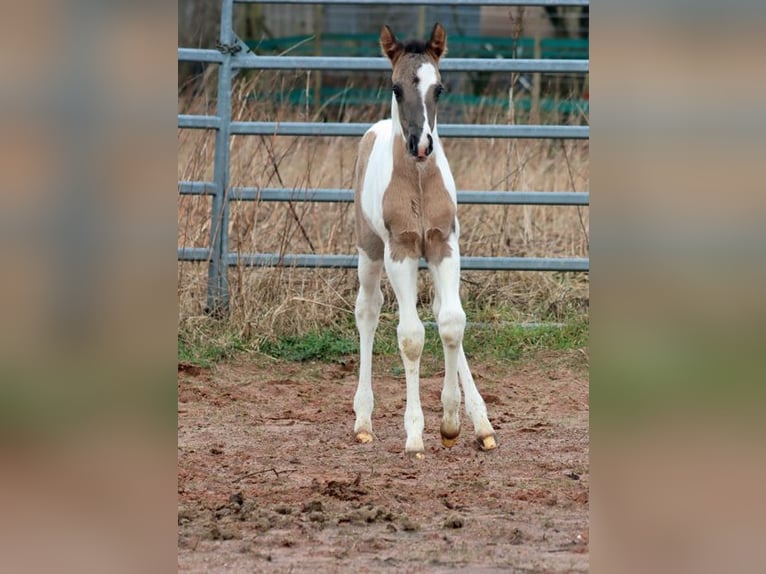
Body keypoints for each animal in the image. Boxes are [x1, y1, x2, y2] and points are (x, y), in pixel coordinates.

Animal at [354, 23, 498, 460]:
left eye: (440, 88)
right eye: (396, 87)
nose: (421, 144)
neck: (418, 178)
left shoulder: (442, 245)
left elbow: (451, 322)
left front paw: (452, 423)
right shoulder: (400, 250)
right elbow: (411, 337)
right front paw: (415, 435)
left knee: (440, 310)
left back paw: (482, 424)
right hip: (369, 250)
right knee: (367, 310)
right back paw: (362, 421)